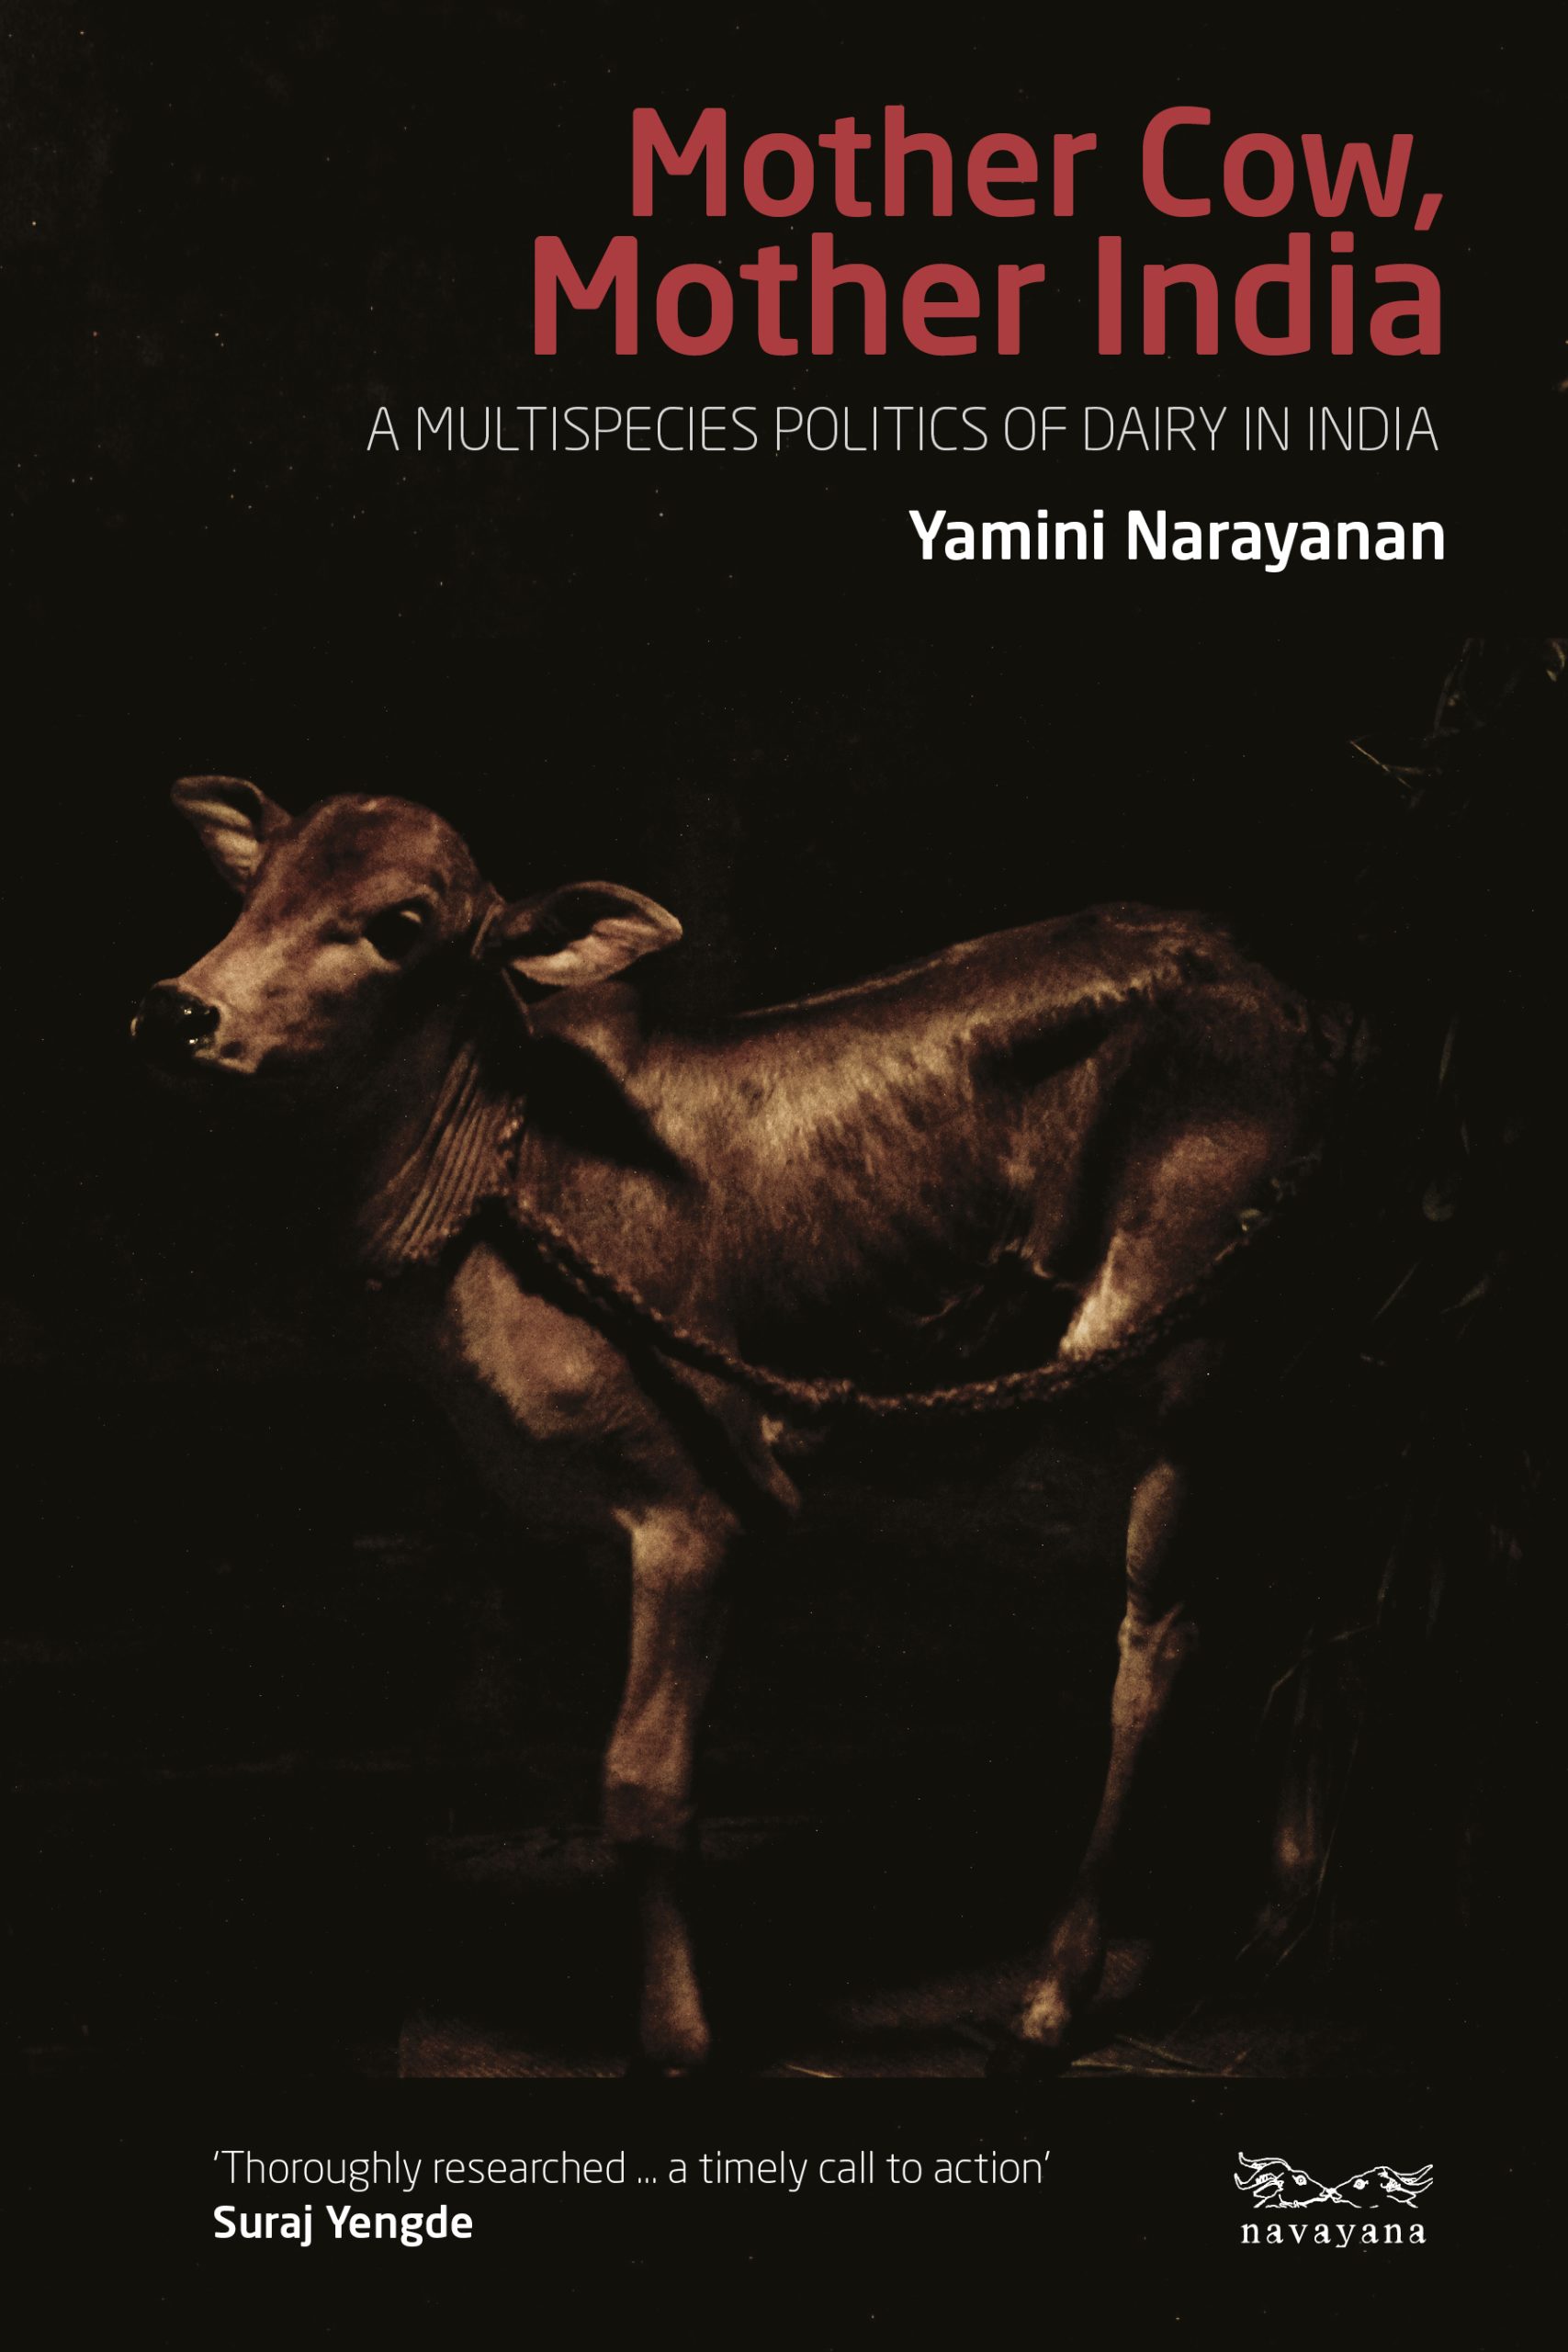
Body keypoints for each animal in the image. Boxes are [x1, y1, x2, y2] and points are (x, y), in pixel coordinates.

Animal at [134, 774, 1341, 2076]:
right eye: (255, 885)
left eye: (401, 923)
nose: (178, 1011)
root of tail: (1271, 985)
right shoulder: (553, 1510)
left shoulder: (697, 1500)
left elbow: (642, 1778)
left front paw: (676, 2035)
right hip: (1254, 1372)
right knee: (1303, 1579)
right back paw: (1284, 1905)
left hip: (1184, 1365)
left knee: (1161, 1642)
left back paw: (1052, 1997)